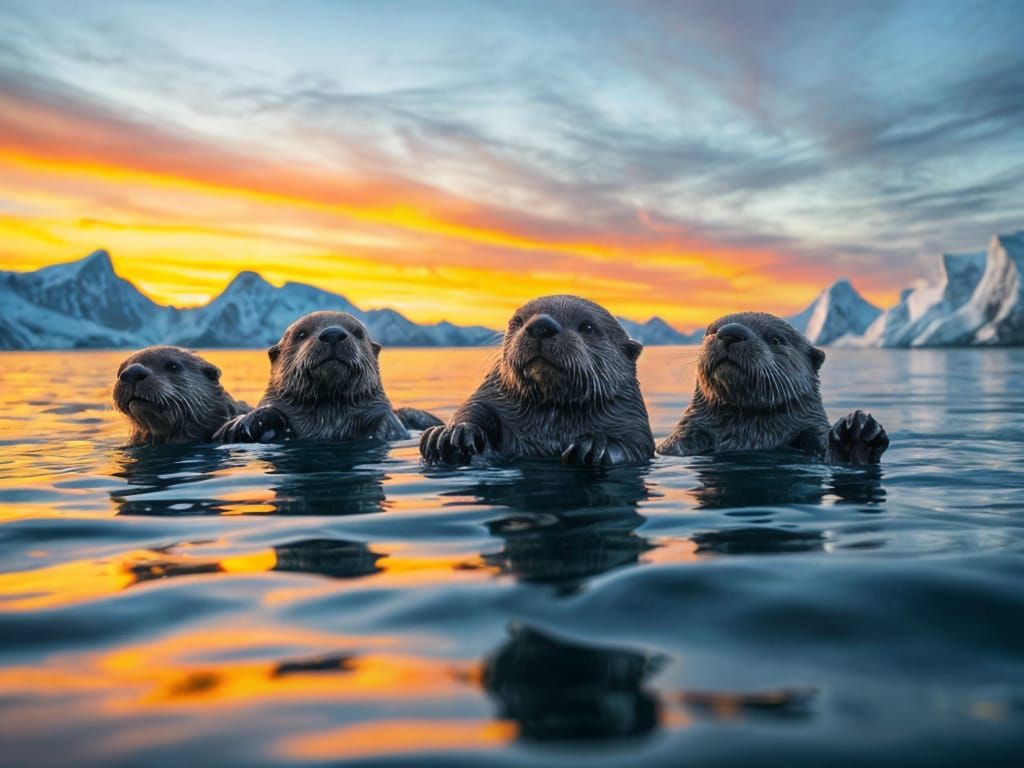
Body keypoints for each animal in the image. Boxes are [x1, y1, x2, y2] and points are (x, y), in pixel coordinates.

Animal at [420, 295, 654, 466]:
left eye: (587, 326)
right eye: (517, 321)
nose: (541, 325)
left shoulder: (631, 418)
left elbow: (636, 446)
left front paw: (596, 446)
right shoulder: (491, 394)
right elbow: (473, 408)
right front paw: (450, 436)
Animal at [657, 312, 888, 464]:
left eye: (775, 339)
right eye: (711, 331)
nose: (730, 332)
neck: (749, 433)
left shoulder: (812, 429)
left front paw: (857, 438)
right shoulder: (688, 431)